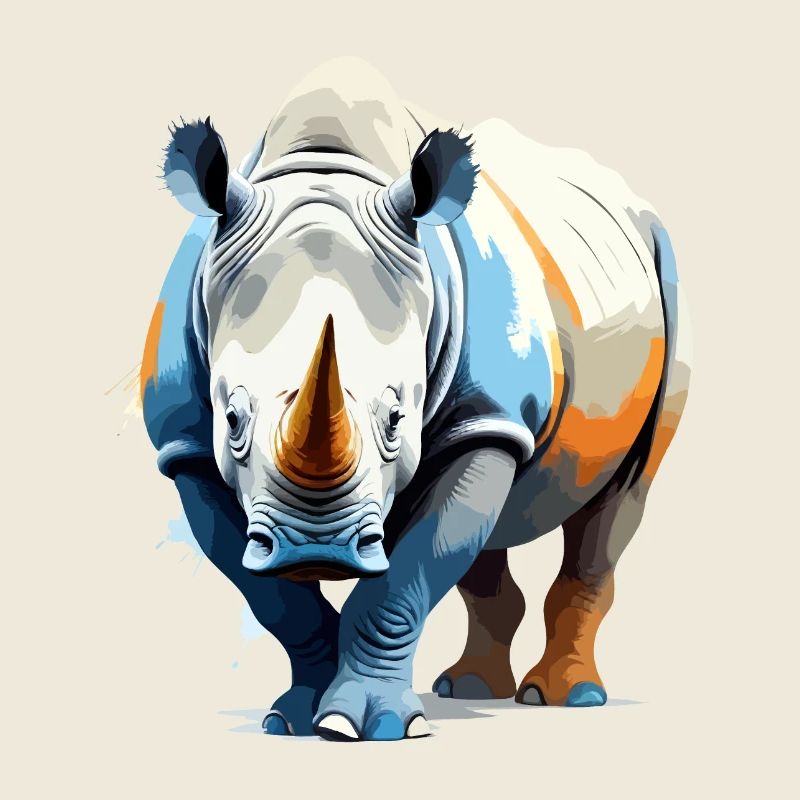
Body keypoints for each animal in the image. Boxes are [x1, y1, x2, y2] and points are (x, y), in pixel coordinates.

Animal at [141, 58, 691, 741]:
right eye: (233, 418)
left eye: (397, 420)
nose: (316, 548)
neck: (324, 170)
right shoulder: (185, 446)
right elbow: (276, 600)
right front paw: (296, 719)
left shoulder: (485, 418)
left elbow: (402, 584)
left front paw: (366, 726)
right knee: (492, 527)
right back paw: (469, 688)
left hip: (665, 274)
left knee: (621, 496)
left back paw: (565, 697)